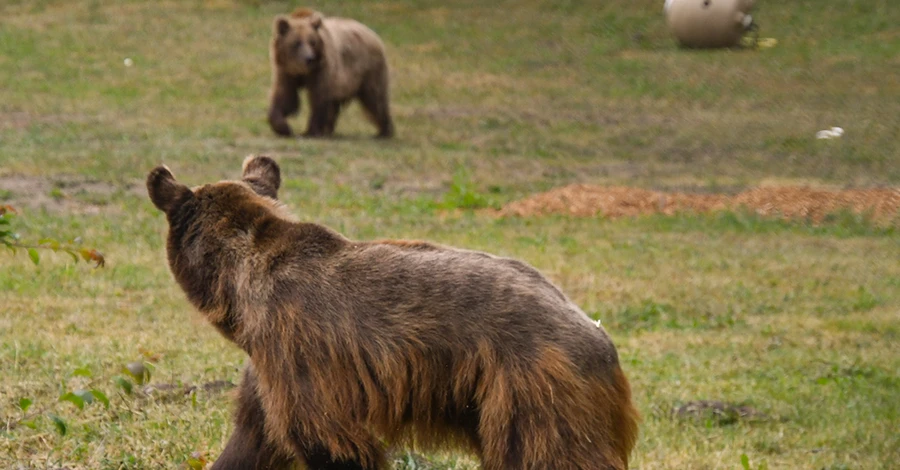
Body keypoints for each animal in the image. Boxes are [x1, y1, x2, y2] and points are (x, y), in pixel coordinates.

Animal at [148, 156, 640, 468]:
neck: (241, 291)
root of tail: (602, 340)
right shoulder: (266, 375)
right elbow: (253, 440)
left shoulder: (300, 350)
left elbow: (329, 442)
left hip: (533, 390)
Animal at [268, 8, 394, 138]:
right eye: (296, 43)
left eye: (312, 42)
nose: (309, 58)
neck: (302, 71)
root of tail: (373, 34)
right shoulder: (286, 72)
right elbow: (286, 96)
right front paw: (284, 127)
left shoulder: (321, 70)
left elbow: (319, 97)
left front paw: (310, 131)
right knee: (335, 105)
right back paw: (328, 129)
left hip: (367, 70)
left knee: (375, 99)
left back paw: (384, 131)